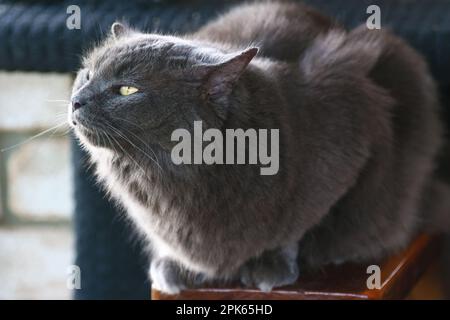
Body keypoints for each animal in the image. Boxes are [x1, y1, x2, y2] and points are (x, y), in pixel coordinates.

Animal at [68, 1, 448, 294]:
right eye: (87, 74)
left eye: (127, 90)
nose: (76, 101)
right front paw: (178, 266)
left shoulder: (348, 138)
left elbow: (299, 222)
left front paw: (271, 265)